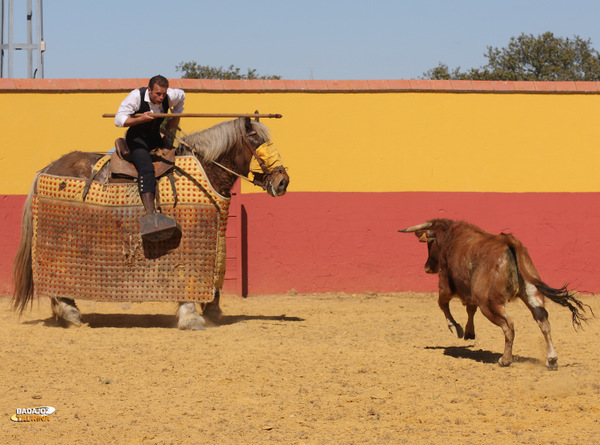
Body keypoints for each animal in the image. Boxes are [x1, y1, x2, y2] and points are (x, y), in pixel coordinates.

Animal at [398, 218, 592, 368]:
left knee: (509, 325)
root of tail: (510, 242)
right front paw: (469, 332)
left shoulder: (446, 283)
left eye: (429, 243)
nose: (427, 267)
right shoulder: (471, 292)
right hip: (532, 293)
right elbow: (470, 309)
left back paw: (505, 360)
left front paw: (456, 328)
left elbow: (443, 303)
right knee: (543, 321)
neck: (449, 236)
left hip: (489, 303)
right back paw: (551, 360)